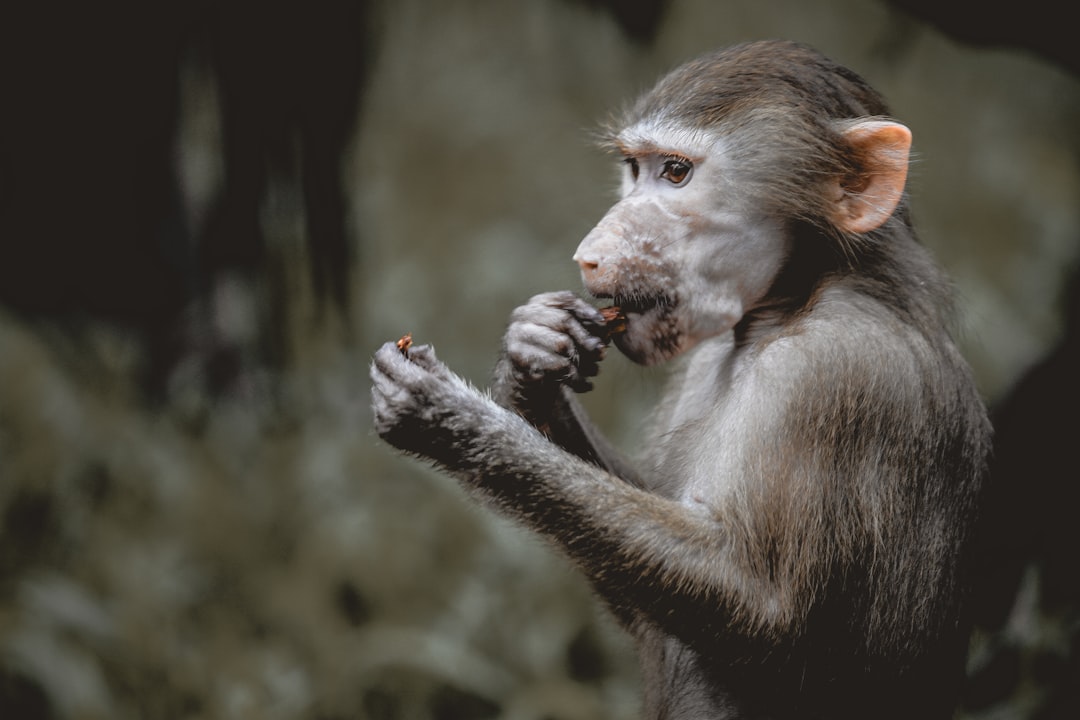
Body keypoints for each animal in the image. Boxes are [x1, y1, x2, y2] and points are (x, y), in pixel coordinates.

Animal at [369, 40, 989, 720]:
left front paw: (458, 422)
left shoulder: (831, 372)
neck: (796, 302)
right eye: (634, 169)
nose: (589, 254)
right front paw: (533, 351)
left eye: (675, 172)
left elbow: (765, 615)